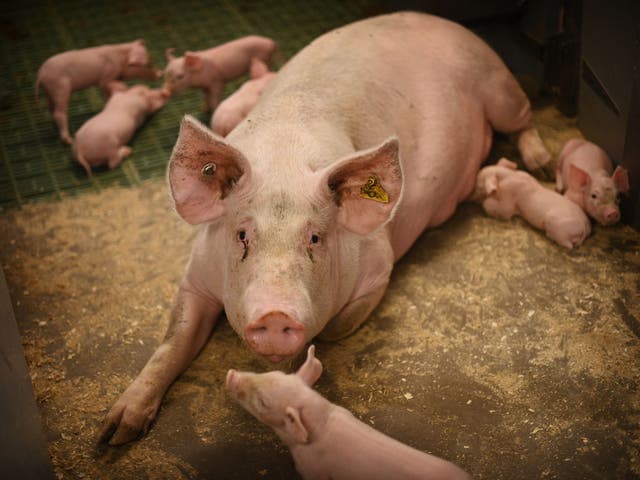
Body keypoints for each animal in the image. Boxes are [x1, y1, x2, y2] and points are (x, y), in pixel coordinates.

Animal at [99, 11, 552, 446]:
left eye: (314, 237)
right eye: (242, 235)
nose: (275, 313)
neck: (284, 158)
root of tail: (445, 22)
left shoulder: (379, 270)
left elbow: (335, 330)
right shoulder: (196, 275)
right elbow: (173, 340)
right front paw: (113, 434)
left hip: (498, 85)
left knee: (524, 121)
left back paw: (541, 165)